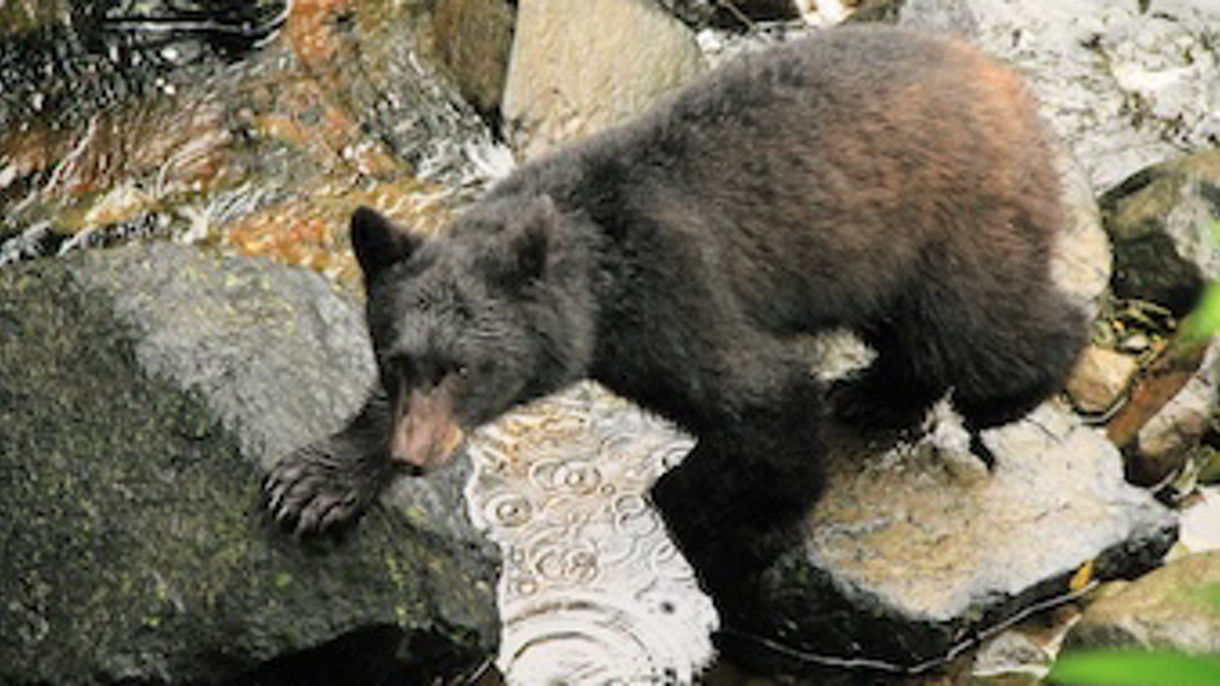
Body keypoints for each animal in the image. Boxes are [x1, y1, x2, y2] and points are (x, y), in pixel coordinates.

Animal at [263, 25, 1086, 595]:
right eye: (395, 359)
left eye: (463, 368)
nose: (414, 455)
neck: (599, 283)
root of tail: (1012, 85)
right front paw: (316, 482)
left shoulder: (674, 293)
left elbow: (760, 395)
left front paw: (740, 524)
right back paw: (874, 394)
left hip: (951, 218)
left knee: (977, 329)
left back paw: (1006, 392)